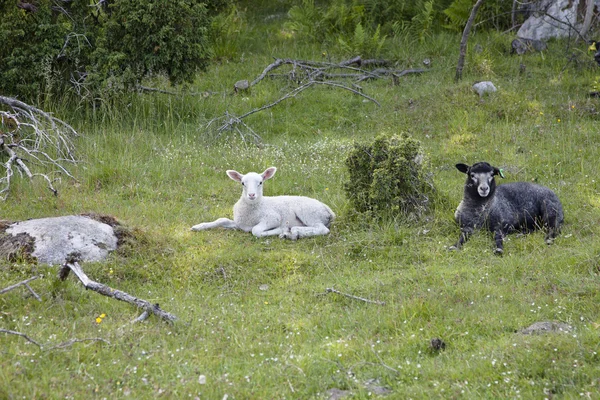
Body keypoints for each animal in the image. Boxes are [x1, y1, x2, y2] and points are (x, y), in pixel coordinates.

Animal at [191, 166, 336, 239]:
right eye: (242, 183)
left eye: (260, 182)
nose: (251, 195)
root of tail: (328, 210)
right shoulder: (239, 223)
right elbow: (221, 220)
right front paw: (197, 227)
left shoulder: (273, 218)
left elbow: (256, 230)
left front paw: (281, 230)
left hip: (309, 213)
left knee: (322, 229)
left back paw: (293, 232)